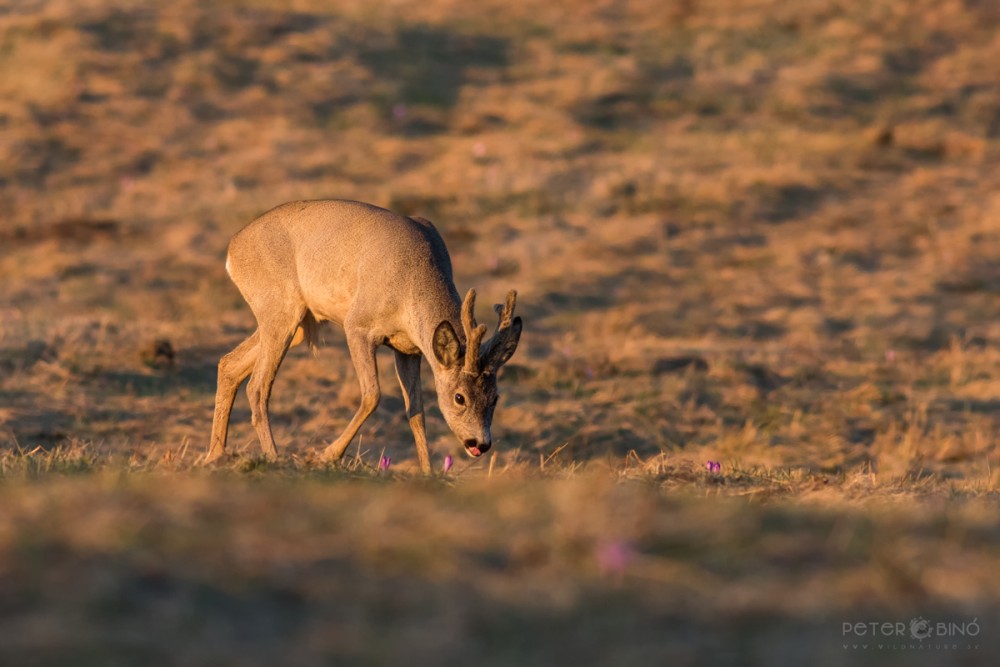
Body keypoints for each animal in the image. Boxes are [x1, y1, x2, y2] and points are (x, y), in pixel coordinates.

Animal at [208, 200, 528, 474]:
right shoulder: (357, 325)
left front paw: (428, 472)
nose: (480, 444)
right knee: (258, 386)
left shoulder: (409, 349)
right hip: (280, 309)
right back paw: (273, 457)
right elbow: (373, 394)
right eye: (460, 397)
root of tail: (231, 251)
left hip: (297, 323)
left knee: (229, 363)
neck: (412, 284)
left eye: (495, 397)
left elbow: (417, 411)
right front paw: (326, 456)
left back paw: (215, 455)